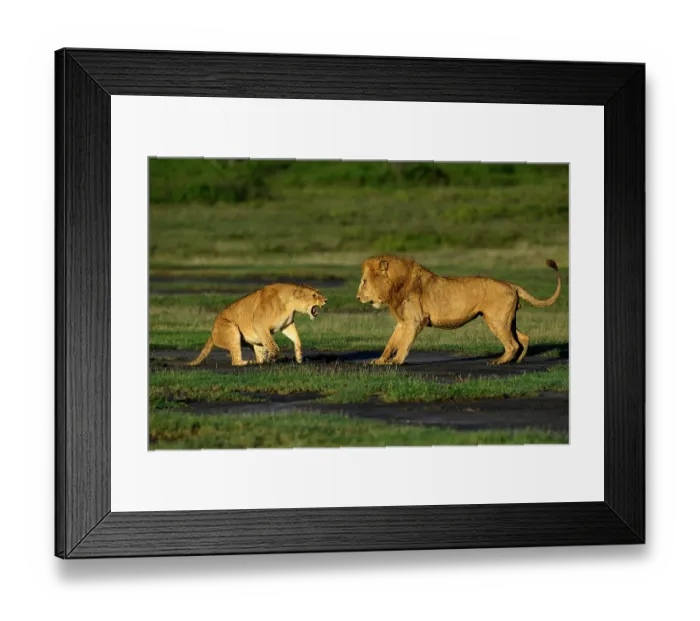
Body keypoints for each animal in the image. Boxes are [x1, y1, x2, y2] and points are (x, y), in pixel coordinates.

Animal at [188, 283, 327, 366]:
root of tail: (212, 333)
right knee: (235, 361)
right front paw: (272, 358)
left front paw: (299, 358)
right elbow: (272, 344)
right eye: (314, 295)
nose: (326, 300)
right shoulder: (259, 324)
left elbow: (296, 339)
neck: (290, 304)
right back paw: (249, 362)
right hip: (231, 329)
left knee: (256, 353)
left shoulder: (286, 325)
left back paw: (259, 361)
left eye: (319, 293)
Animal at [356, 255, 562, 366]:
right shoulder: (403, 322)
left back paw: (499, 361)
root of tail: (511, 284)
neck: (395, 287)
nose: (357, 297)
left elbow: (404, 344)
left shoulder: (415, 321)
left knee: (512, 344)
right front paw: (379, 361)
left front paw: (397, 361)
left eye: (364, 281)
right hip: (505, 320)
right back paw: (516, 361)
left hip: (496, 320)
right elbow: (391, 343)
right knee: (524, 338)